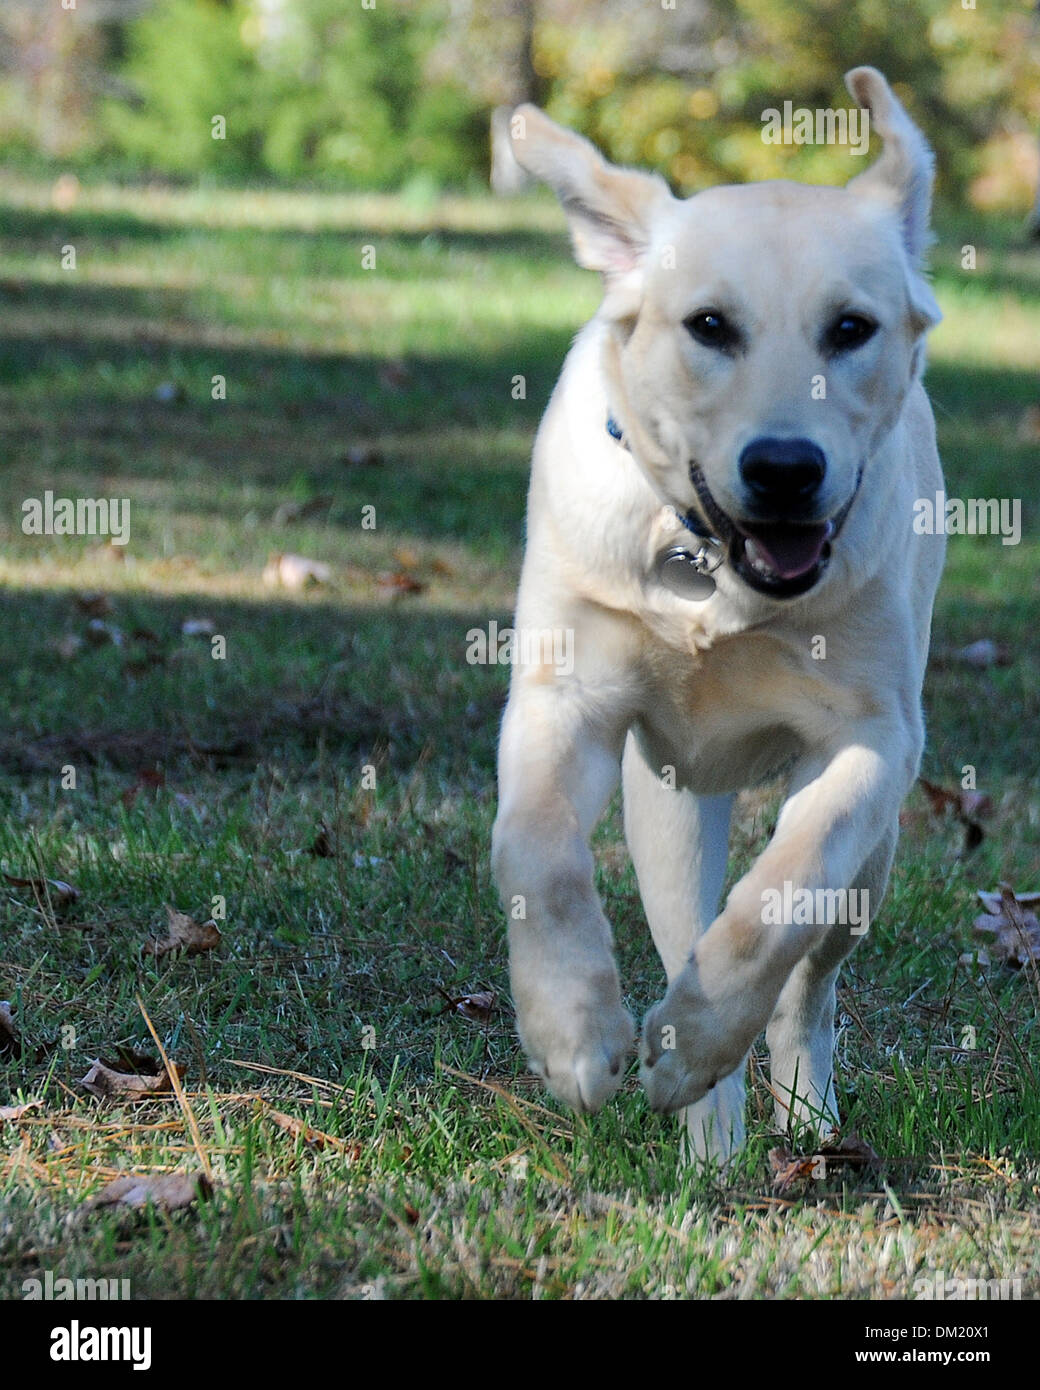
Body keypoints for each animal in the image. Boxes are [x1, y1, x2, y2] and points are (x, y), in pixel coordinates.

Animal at [492, 67, 945, 1162]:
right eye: (708, 326)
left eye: (849, 328)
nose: (783, 469)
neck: (713, 572)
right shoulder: (563, 701)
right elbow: (537, 849)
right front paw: (571, 1031)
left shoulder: (874, 743)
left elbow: (780, 895)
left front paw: (693, 1038)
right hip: (664, 808)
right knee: (681, 929)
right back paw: (710, 1140)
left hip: (874, 869)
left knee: (806, 988)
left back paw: (793, 1110)